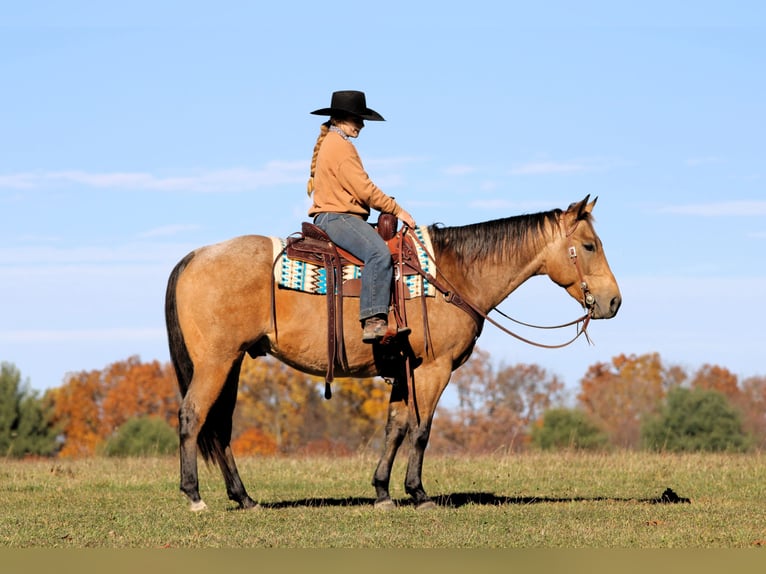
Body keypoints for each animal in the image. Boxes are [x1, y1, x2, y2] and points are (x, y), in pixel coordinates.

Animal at [164, 195, 621, 511]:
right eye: (589, 245)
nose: (613, 302)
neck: (453, 275)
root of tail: (195, 256)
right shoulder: (434, 369)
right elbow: (421, 430)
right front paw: (418, 493)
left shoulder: (404, 371)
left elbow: (395, 427)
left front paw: (383, 491)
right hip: (215, 363)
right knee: (193, 417)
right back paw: (194, 496)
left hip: (232, 363)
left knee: (220, 426)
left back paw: (244, 498)